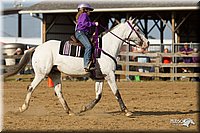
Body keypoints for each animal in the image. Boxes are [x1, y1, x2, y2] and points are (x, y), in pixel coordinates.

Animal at [3, 19, 149, 116]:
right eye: (138, 29)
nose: (147, 43)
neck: (106, 47)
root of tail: (37, 48)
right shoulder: (110, 74)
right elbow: (116, 92)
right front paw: (127, 111)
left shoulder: (100, 77)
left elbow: (98, 96)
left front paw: (84, 108)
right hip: (41, 74)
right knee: (31, 87)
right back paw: (22, 108)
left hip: (55, 74)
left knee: (58, 92)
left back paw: (70, 111)